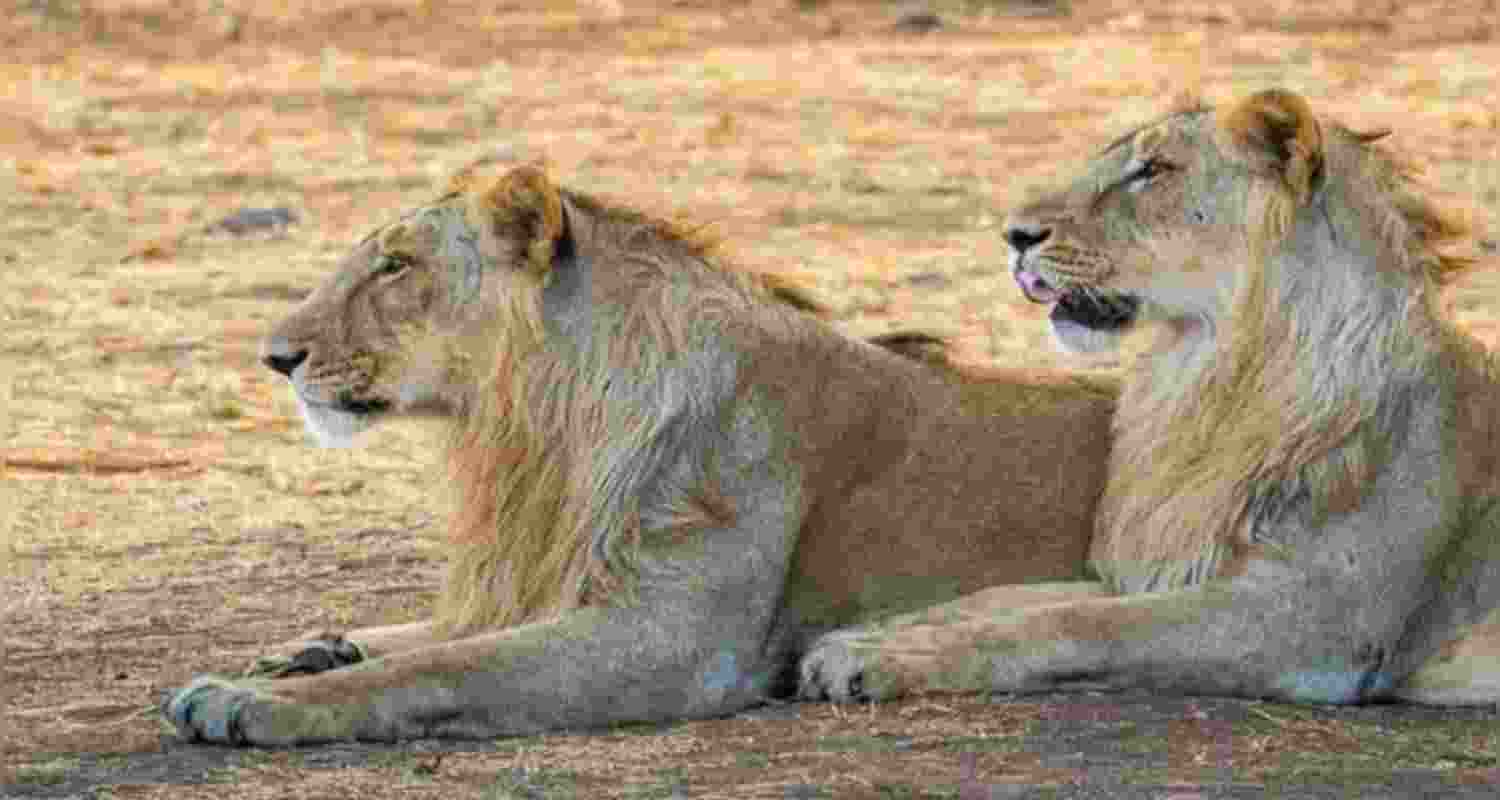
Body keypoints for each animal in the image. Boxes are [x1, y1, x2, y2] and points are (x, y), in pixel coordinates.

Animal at [161, 164, 1118, 745]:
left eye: (395, 265)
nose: (275, 357)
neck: (544, 430)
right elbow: (428, 634)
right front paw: (309, 650)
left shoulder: (676, 642)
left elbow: (442, 663)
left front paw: (254, 699)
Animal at [799, 89, 1500, 707]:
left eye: (1153, 170)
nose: (1014, 235)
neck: (1205, 380)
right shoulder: (1166, 564)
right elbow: (1011, 597)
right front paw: (875, 635)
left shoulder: (1320, 619)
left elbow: (1075, 624)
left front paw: (884, 658)